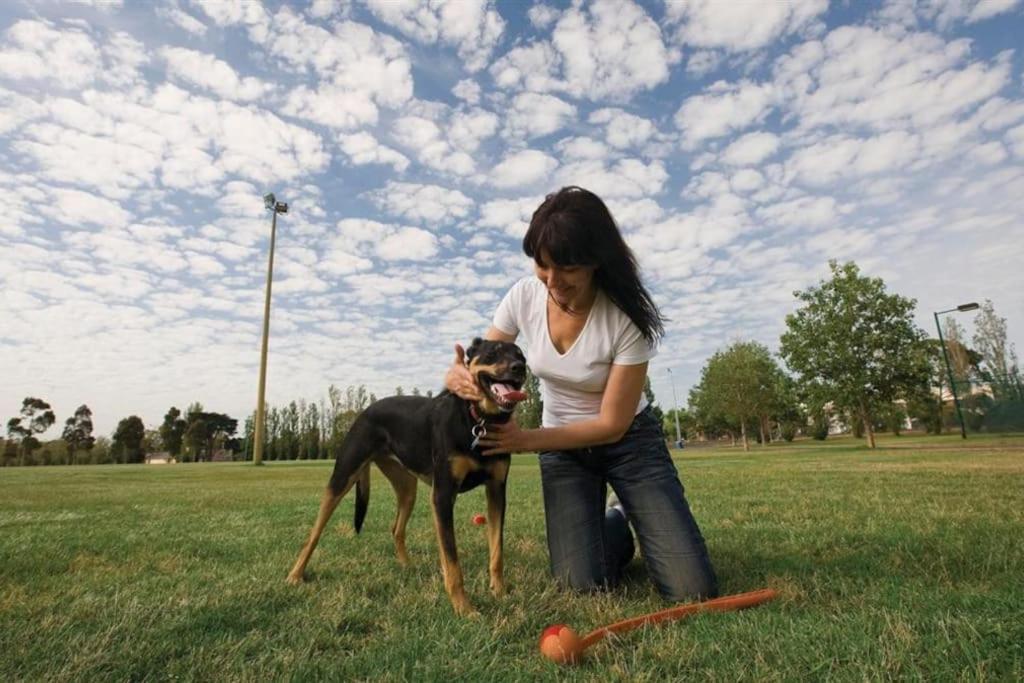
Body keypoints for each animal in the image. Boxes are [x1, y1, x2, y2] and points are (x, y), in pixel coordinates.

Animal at [286, 339, 528, 618]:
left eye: (521, 355)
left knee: (396, 528)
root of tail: (366, 410)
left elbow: (497, 550)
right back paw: (295, 575)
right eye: (493, 352)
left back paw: (407, 565)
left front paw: (499, 592)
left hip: (407, 488)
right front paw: (464, 608)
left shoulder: (497, 490)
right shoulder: (443, 495)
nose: (520, 368)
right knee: (313, 534)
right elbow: (452, 561)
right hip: (342, 476)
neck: (477, 420)